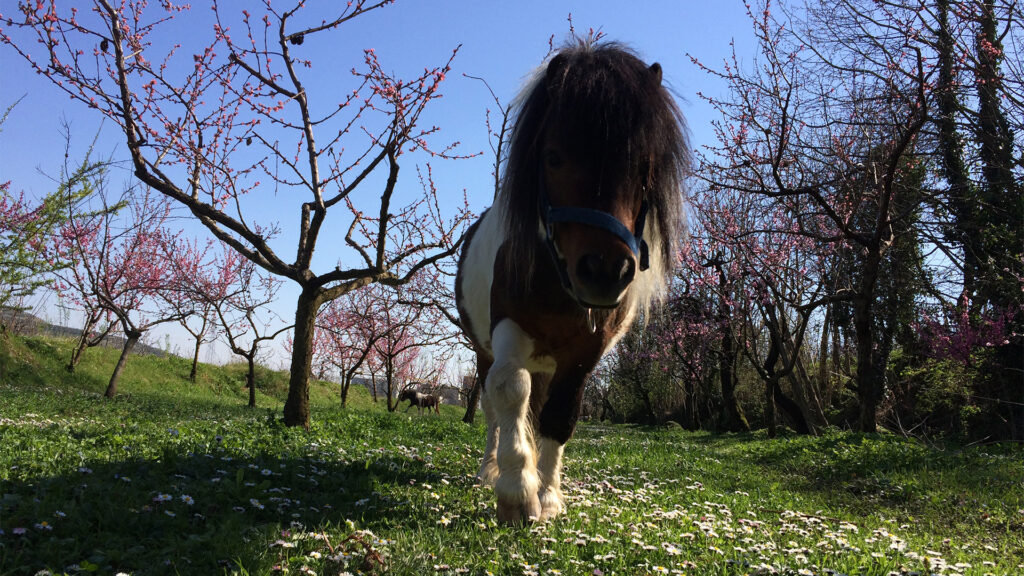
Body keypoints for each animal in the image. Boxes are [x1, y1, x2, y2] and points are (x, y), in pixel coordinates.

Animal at [455, 40, 689, 524]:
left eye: (644, 167)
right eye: (553, 157)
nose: (604, 272)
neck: (556, 276)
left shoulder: (585, 351)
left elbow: (560, 414)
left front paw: (547, 495)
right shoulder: (509, 327)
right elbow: (509, 391)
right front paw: (515, 491)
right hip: (484, 349)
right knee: (492, 406)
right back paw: (489, 469)